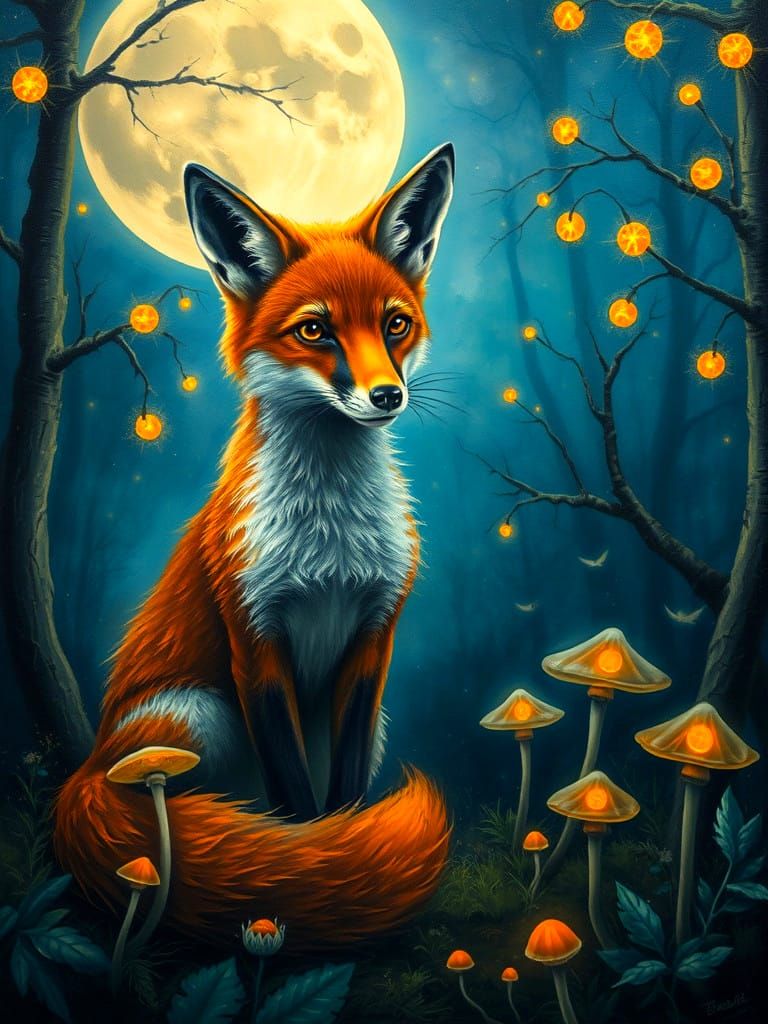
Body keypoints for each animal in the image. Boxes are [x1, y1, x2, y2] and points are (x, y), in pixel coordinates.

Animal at [55, 144, 456, 950]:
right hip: (199, 716)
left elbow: (344, 796)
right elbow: (297, 802)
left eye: (395, 324)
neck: (330, 540)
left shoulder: (373, 641)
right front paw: (318, 870)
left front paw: (348, 855)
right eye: (315, 332)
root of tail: (86, 769)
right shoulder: (255, 640)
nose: (387, 396)